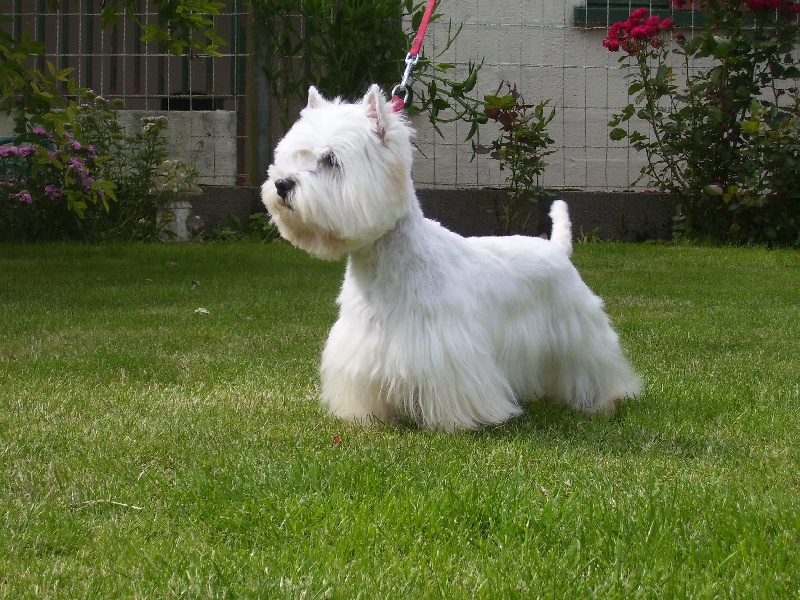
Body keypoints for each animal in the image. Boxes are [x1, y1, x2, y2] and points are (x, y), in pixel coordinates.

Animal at [261, 84, 641, 430]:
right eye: (295, 156)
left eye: (331, 160)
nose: (281, 184)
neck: (385, 264)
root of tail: (557, 248)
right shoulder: (362, 345)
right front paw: (367, 417)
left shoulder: (446, 349)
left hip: (579, 329)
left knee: (595, 363)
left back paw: (609, 399)